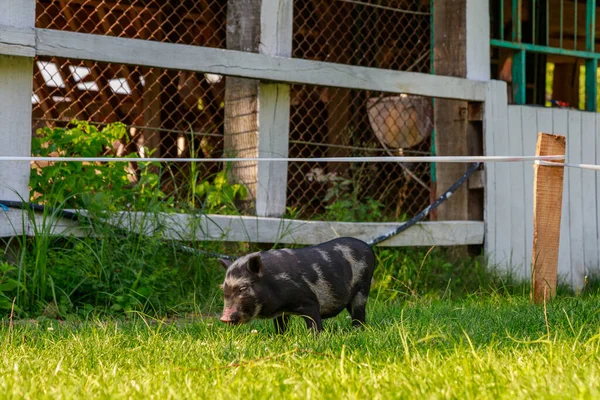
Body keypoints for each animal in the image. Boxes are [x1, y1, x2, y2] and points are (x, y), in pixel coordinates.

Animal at [218, 236, 372, 332]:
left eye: (243, 288)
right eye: (224, 289)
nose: (224, 317)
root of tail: (368, 248)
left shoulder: (310, 302)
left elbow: (315, 324)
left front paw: (316, 339)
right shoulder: (281, 313)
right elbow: (281, 327)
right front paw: (280, 338)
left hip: (363, 286)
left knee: (359, 314)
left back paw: (357, 331)